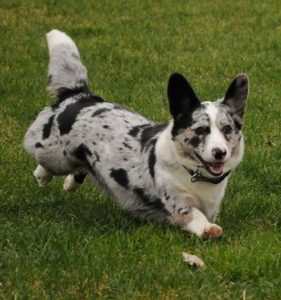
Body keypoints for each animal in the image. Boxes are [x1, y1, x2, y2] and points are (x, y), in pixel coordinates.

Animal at [23, 29, 247, 238]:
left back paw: (69, 183)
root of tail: (80, 95)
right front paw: (209, 229)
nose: (220, 153)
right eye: (200, 130)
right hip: (54, 155)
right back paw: (42, 176)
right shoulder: (178, 204)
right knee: (44, 161)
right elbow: (195, 215)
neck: (193, 174)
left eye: (227, 129)